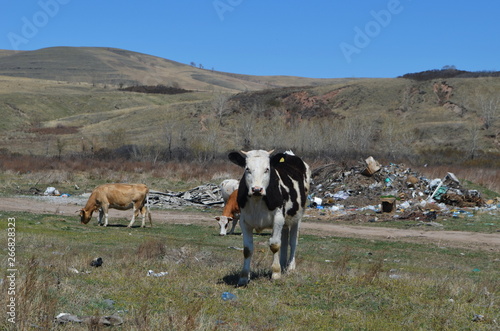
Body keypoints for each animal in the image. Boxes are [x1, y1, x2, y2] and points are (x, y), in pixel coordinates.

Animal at [229, 149, 308, 286]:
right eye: (247, 169)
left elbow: (275, 245)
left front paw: (275, 273)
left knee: (293, 241)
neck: (257, 200)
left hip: (297, 217)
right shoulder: (244, 221)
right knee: (285, 240)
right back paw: (282, 264)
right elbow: (247, 249)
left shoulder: (278, 218)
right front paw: (244, 277)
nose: (256, 189)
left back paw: (290, 267)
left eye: (267, 169)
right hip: (285, 222)